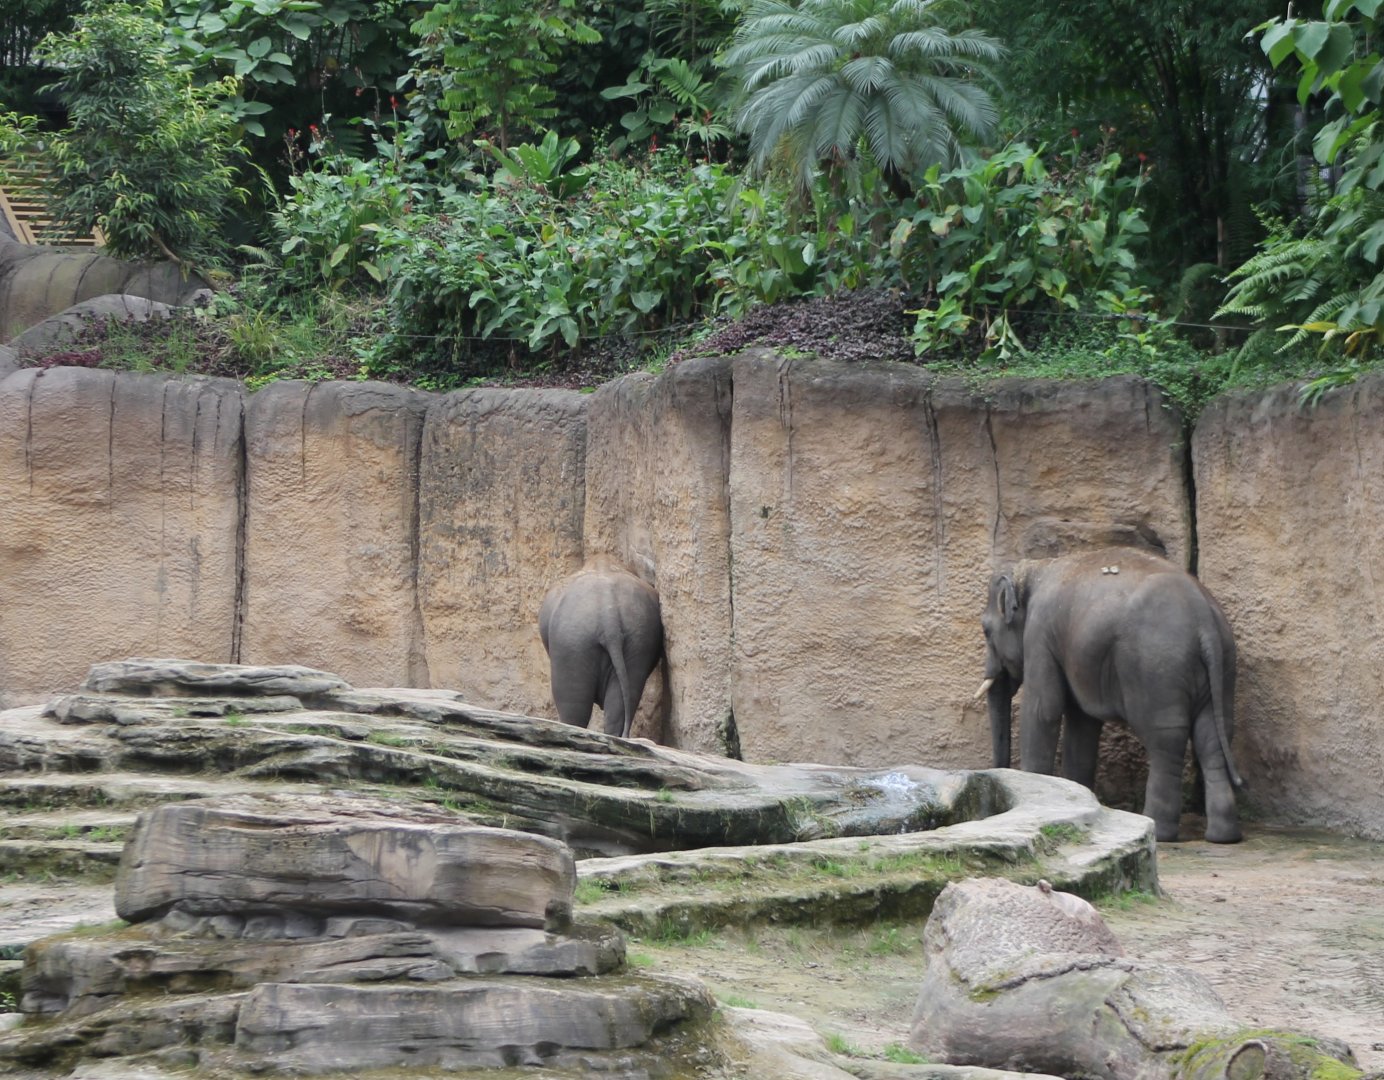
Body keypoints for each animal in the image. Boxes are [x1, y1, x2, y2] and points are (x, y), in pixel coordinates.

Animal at [975, 547, 1243, 844]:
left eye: (986, 630)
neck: (1035, 568)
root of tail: (1204, 623)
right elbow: (1082, 722)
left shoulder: (1039, 633)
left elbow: (1043, 708)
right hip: (1222, 665)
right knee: (1213, 736)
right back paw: (1223, 836)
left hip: (1157, 668)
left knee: (1166, 739)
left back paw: (1159, 830)